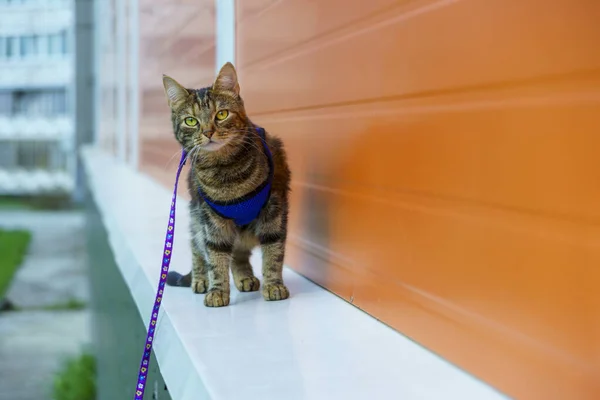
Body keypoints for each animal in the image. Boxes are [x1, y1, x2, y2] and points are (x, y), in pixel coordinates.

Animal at [164, 62, 290, 308]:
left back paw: (245, 278)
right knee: (197, 247)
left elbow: (273, 252)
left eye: (221, 114)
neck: (226, 175)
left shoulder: (274, 210)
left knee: (238, 254)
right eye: (191, 121)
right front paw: (217, 291)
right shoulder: (212, 220)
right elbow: (216, 255)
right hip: (197, 218)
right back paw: (201, 280)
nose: (208, 132)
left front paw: (274, 285)